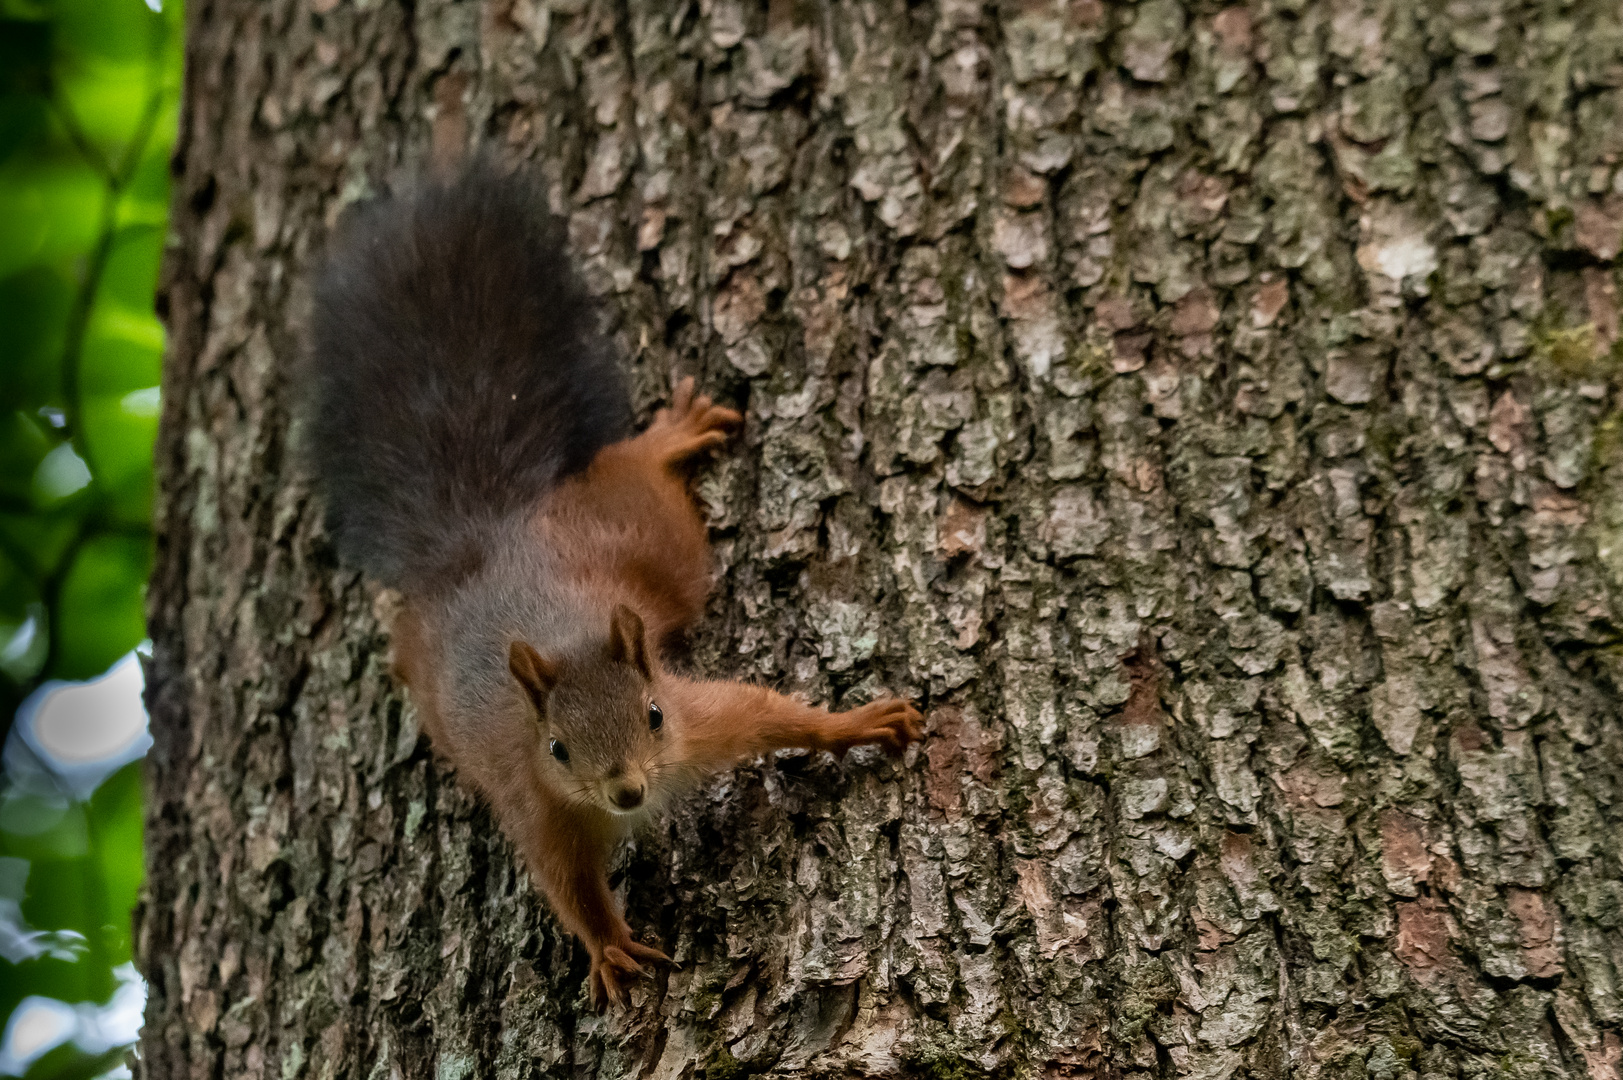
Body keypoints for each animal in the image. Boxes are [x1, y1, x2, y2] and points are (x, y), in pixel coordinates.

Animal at [305, 164, 928, 1006]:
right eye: (558, 749)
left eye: (654, 715)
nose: (627, 792)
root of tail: (486, 533)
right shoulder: (537, 807)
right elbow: (567, 888)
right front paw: (609, 948)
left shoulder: (702, 720)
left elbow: (767, 713)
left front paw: (853, 723)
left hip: (648, 544)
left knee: (634, 474)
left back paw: (665, 438)